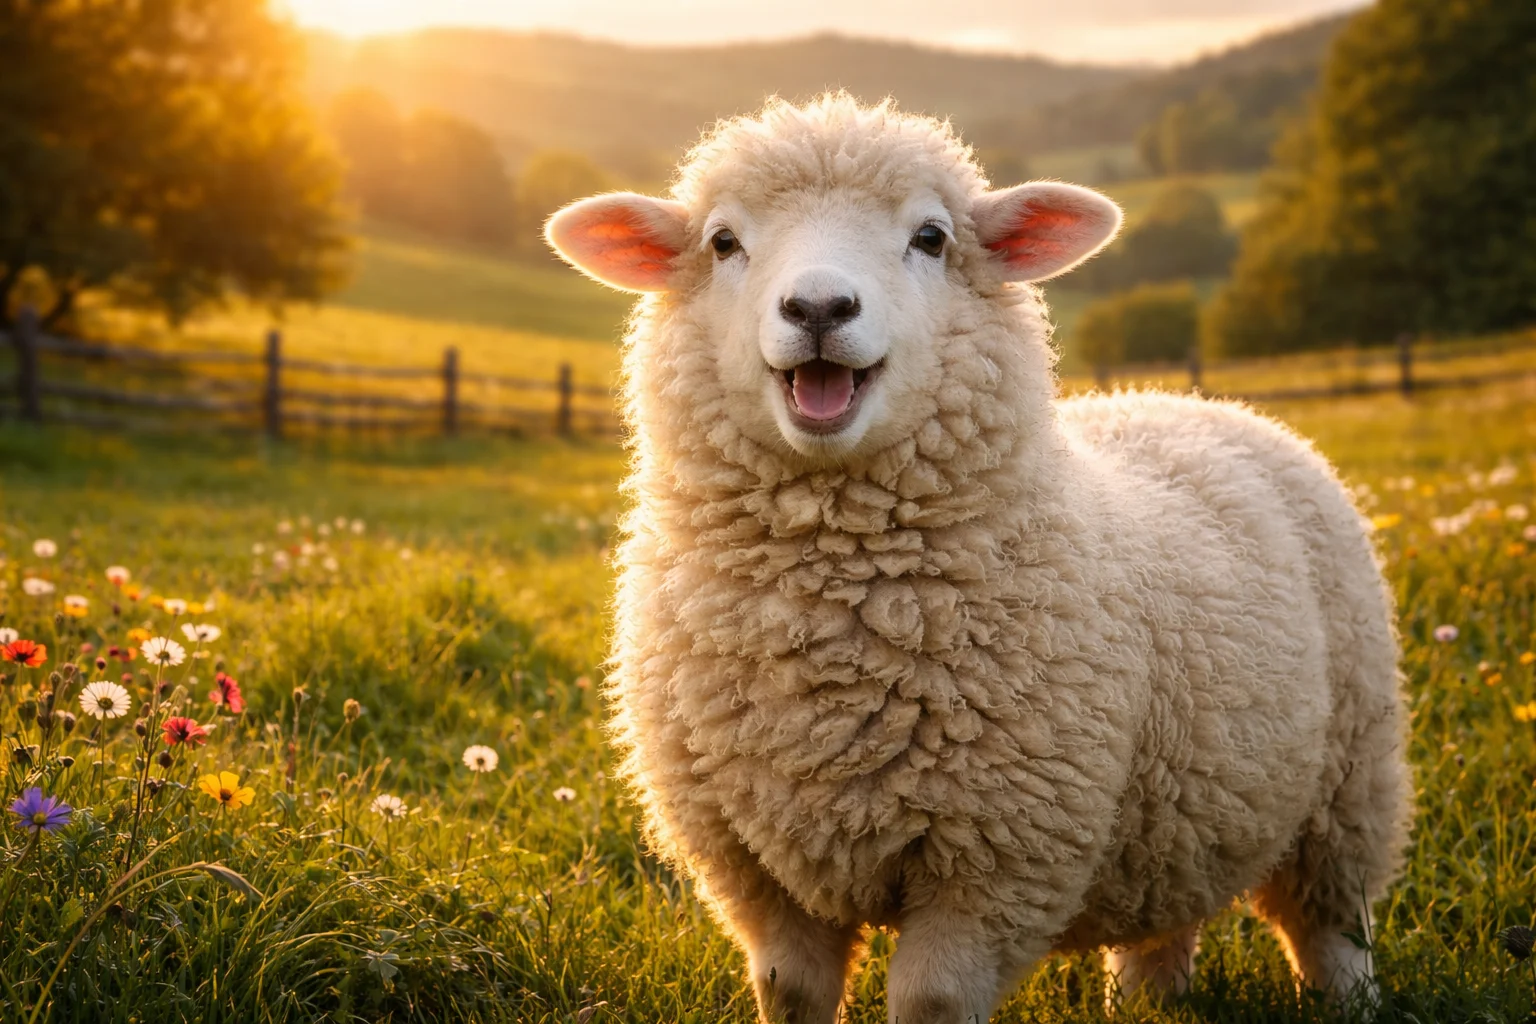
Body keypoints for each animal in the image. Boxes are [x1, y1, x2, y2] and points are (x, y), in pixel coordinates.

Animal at [545, 95, 1411, 1024]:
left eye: (931, 237)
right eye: (722, 242)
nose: (819, 307)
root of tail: (1200, 403)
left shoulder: (996, 862)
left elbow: (931, 1001)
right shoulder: (757, 871)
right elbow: (790, 991)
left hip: (1349, 784)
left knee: (1332, 928)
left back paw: (1351, 1000)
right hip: (1184, 816)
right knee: (1164, 929)